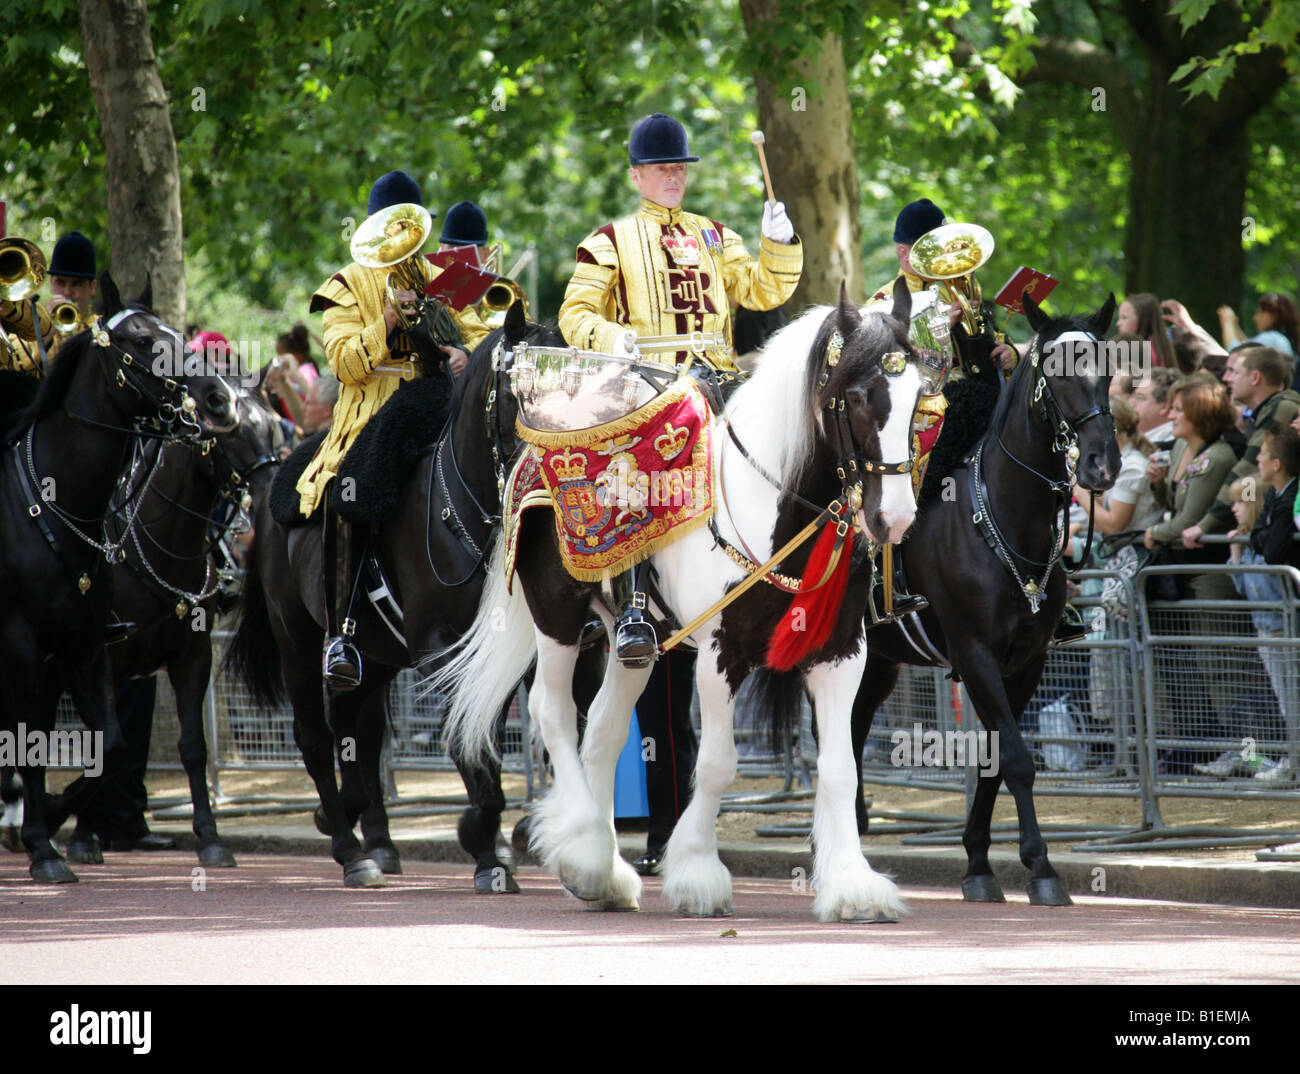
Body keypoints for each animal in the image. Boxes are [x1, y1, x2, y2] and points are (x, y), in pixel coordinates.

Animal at [0, 274, 238, 883]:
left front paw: (53, 819)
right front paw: (45, 844)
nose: (219, 400)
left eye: (176, 332)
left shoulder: (88, 646)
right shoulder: (24, 647)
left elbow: (113, 745)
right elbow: (32, 742)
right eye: (142, 340)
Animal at [59, 386, 283, 868]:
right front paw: (83, 836)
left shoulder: (193, 657)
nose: (273, 490)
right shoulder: (100, 660)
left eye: (273, 425)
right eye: (231, 432)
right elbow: (102, 743)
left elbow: (193, 747)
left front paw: (211, 837)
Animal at [227, 304, 601, 889]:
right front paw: (485, 845)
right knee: (315, 737)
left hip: (376, 657)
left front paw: (506, 838)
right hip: (300, 645)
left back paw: (371, 833)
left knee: (361, 732)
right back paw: (350, 849)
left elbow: (504, 731)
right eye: (528, 388)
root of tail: (270, 488)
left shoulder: (507, 652)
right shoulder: (440, 650)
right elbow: (470, 741)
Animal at [435, 280, 926, 922]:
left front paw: (853, 885)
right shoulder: (721, 654)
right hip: (558, 615)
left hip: (633, 643)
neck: (771, 503)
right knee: (553, 713)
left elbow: (841, 768)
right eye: (861, 397)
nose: (894, 518)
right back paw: (583, 852)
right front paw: (696, 871)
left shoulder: (841, 652)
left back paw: (606, 872)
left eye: (921, 398)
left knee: (603, 729)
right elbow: (716, 764)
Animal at [846, 291, 1119, 906]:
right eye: (1055, 374)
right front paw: (1041, 869)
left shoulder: (1027, 660)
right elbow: (1015, 758)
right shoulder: (974, 655)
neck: (1007, 516)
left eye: (1110, 371)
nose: (1102, 464)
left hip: (877, 660)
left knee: (850, 730)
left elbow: (996, 761)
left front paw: (978, 862)